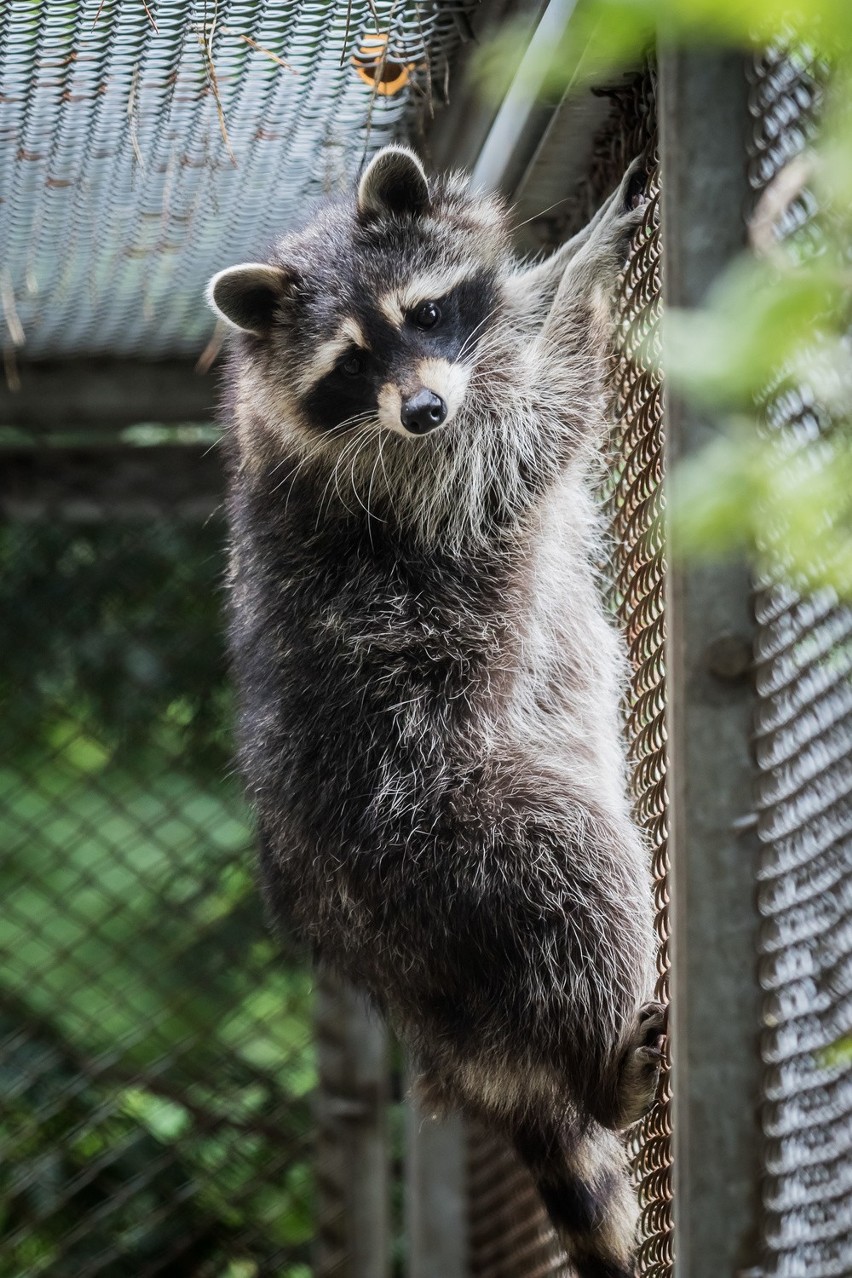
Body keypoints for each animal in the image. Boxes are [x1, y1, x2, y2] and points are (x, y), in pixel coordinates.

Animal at [208, 145, 664, 1272]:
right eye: (348, 364)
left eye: (422, 313)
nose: (419, 410)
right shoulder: (417, 485)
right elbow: (538, 424)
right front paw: (586, 265)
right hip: (460, 834)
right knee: (580, 875)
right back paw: (600, 1067)